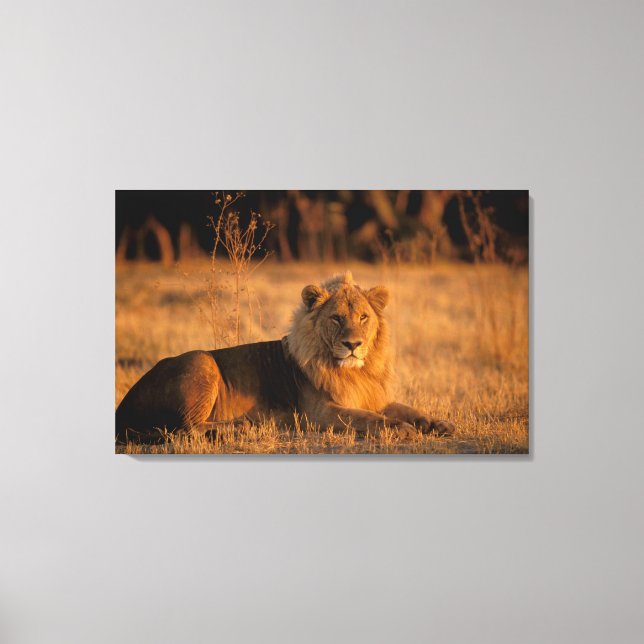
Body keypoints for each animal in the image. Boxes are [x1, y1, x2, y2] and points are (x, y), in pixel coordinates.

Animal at [115, 271, 455, 443]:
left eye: (363, 317)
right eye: (336, 319)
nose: (353, 345)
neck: (355, 371)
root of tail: (122, 407)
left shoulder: (372, 396)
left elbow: (408, 409)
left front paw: (439, 424)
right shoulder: (319, 413)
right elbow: (366, 418)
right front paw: (401, 429)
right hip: (202, 361)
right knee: (182, 429)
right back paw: (241, 427)